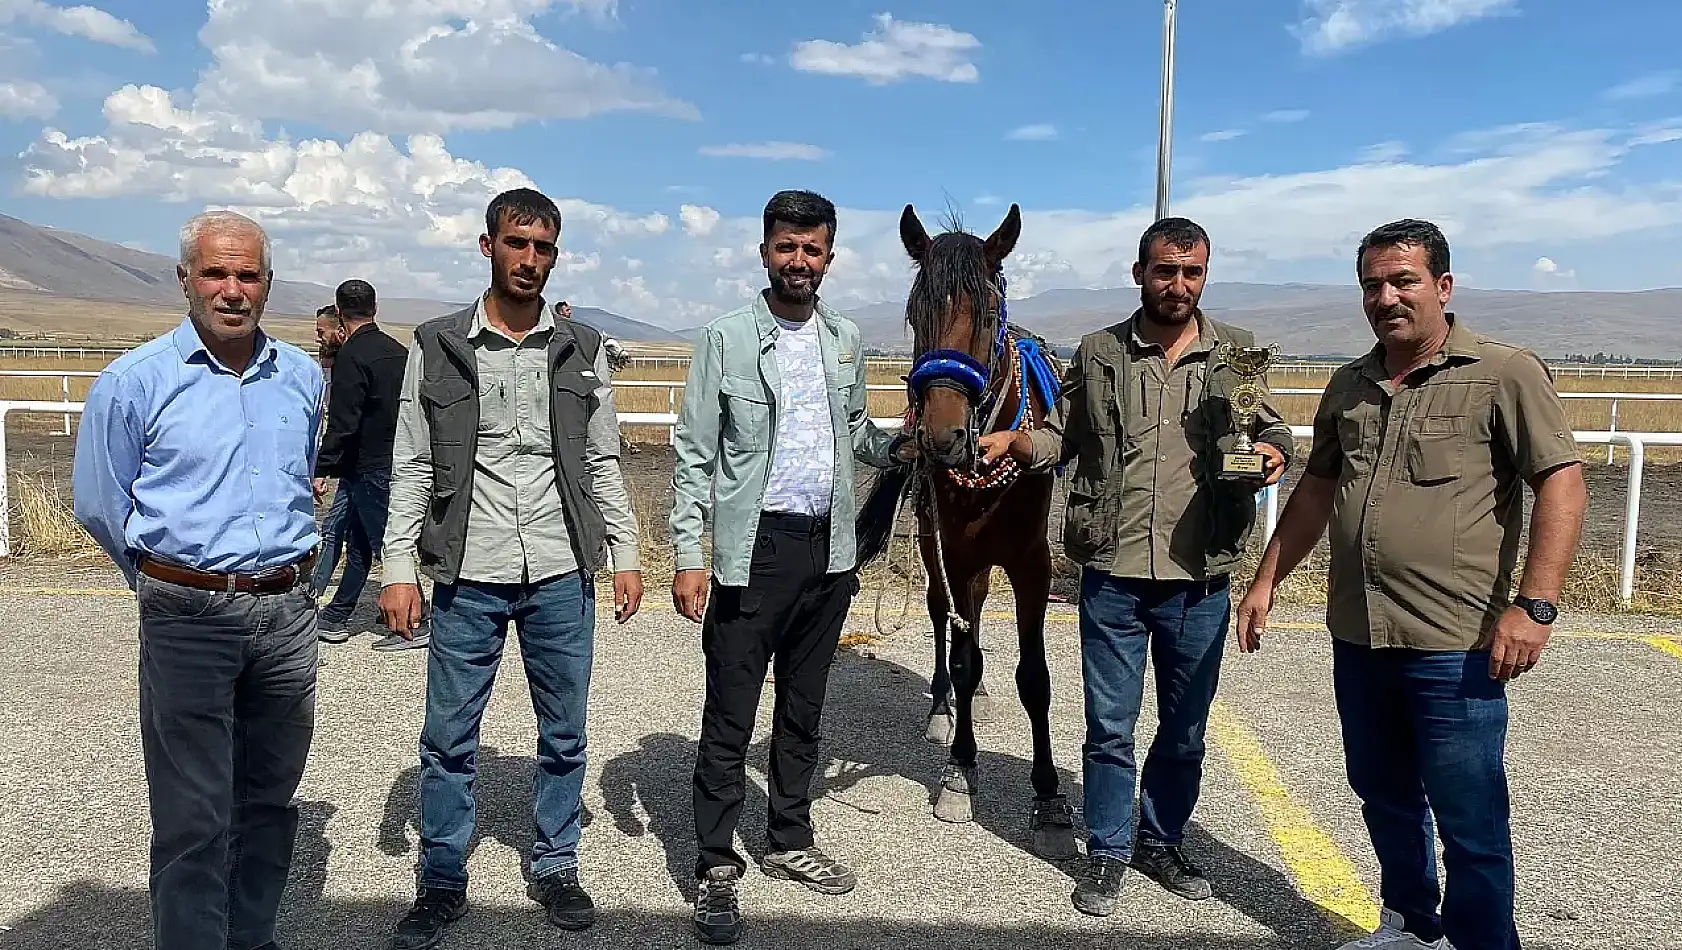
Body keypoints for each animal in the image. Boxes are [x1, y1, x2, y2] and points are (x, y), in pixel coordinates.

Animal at [854, 201, 1076, 860]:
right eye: (915, 311)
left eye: (986, 312)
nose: (942, 436)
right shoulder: (956, 552)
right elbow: (962, 656)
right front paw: (960, 769)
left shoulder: (1030, 563)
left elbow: (1035, 678)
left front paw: (1048, 794)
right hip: (939, 550)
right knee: (942, 619)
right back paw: (942, 705)